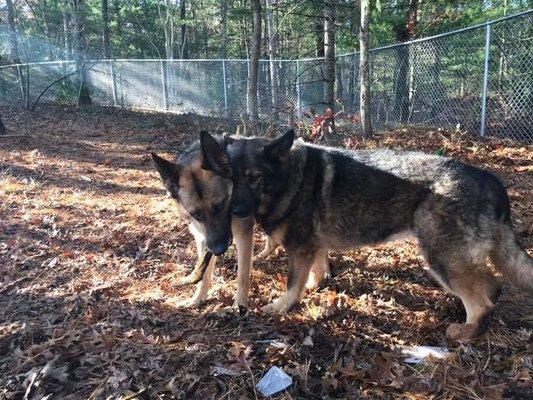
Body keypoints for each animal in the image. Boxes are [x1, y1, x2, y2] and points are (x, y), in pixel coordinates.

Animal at [202, 129, 532, 340]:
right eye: (229, 178)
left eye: (254, 177)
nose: (237, 211)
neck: (288, 179)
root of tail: (494, 184)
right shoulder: (313, 248)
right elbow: (315, 274)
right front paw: (314, 288)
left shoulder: (300, 248)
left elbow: (292, 284)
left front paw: (282, 307)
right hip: (458, 260)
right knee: (492, 286)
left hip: (442, 258)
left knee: (482, 303)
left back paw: (465, 333)